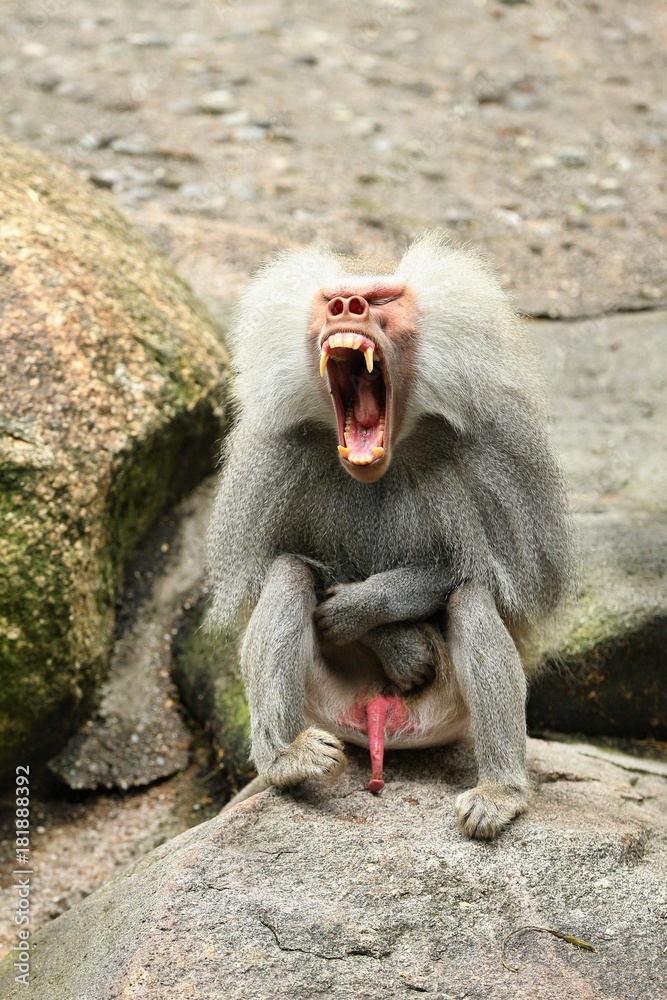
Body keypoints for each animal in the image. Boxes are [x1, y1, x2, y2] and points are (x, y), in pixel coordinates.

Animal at [206, 232, 575, 839]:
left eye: (379, 300)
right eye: (331, 299)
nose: (345, 307)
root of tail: (380, 726)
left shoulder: (503, 447)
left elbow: (495, 578)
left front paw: (363, 611)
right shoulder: (270, 457)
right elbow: (276, 570)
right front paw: (392, 642)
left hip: (448, 715)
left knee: (471, 600)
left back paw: (500, 793)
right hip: (326, 708)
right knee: (288, 575)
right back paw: (287, 759)